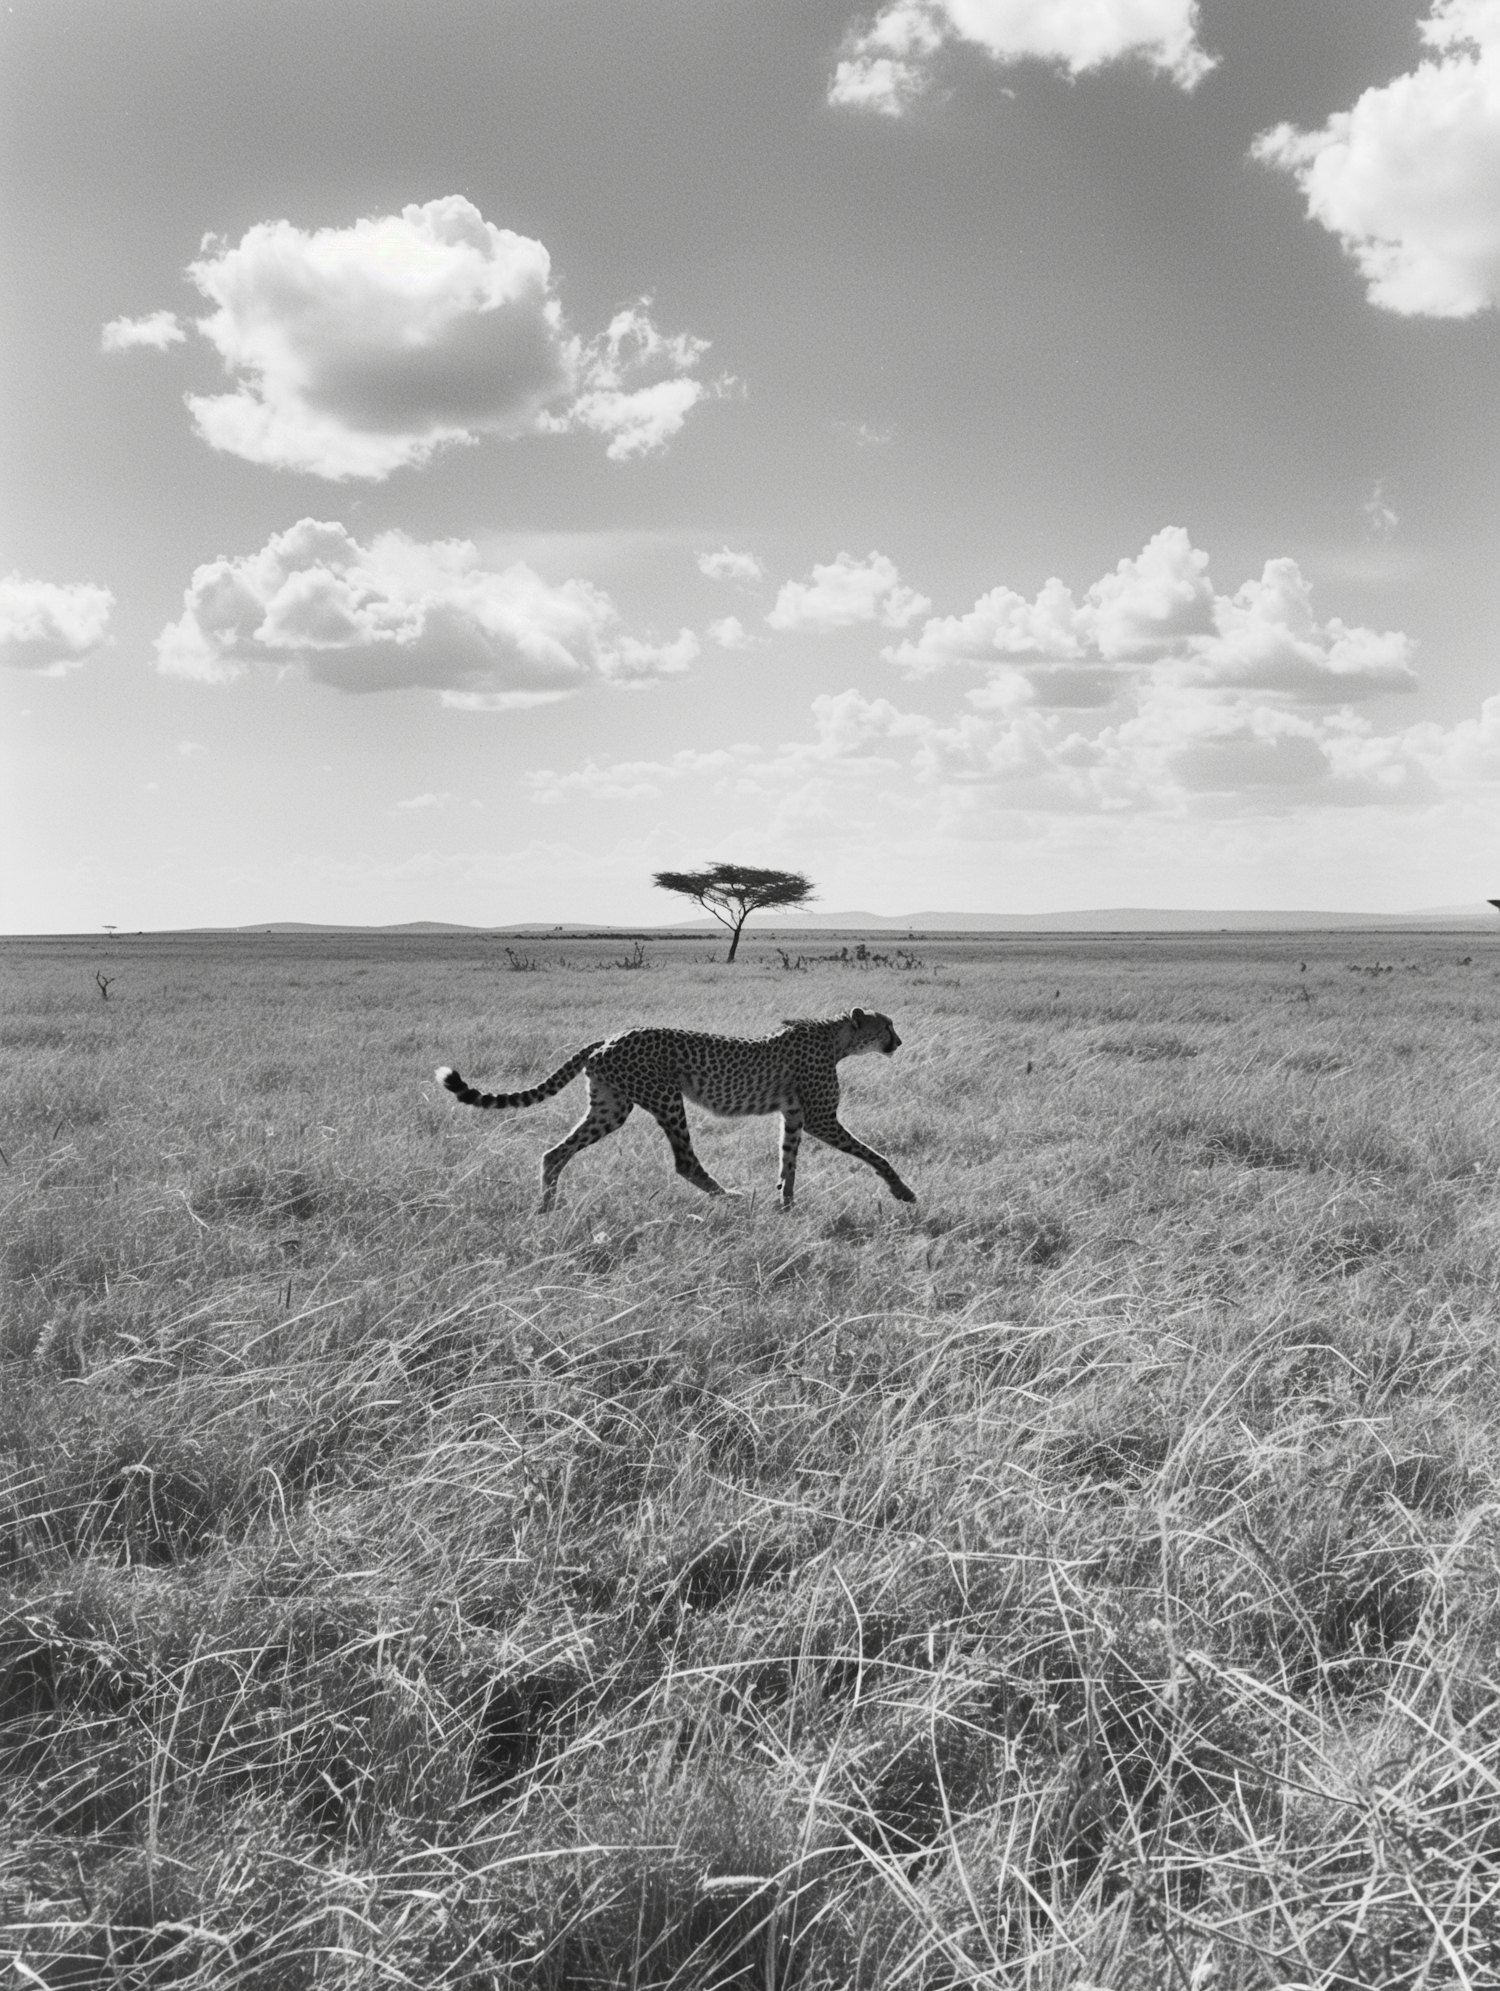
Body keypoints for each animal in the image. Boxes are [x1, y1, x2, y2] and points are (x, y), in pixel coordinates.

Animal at [436, 1011, 912, 1210]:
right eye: (886, 1025)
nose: (899, 1041)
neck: (837, 1037)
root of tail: (614, 1034)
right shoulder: (819, 1119)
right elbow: (874, 1155)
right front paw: (902, 1191)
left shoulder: (794, 1117)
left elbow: (788, 1162)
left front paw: (786, 1205)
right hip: (665, 1097)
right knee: (685, 1161)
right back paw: (729, 1197)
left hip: (611, 1107)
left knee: (555, 1153)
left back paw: (546, 1209)